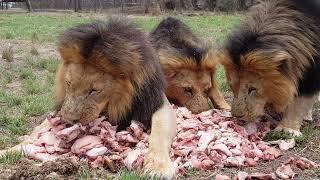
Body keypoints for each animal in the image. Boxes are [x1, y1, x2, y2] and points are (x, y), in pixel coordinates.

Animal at [220, 0, 320, 136]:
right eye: (232, 86)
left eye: (253, 89)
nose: (237, 117)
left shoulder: (311, 76)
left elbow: (299, 104)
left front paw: (287, 129)